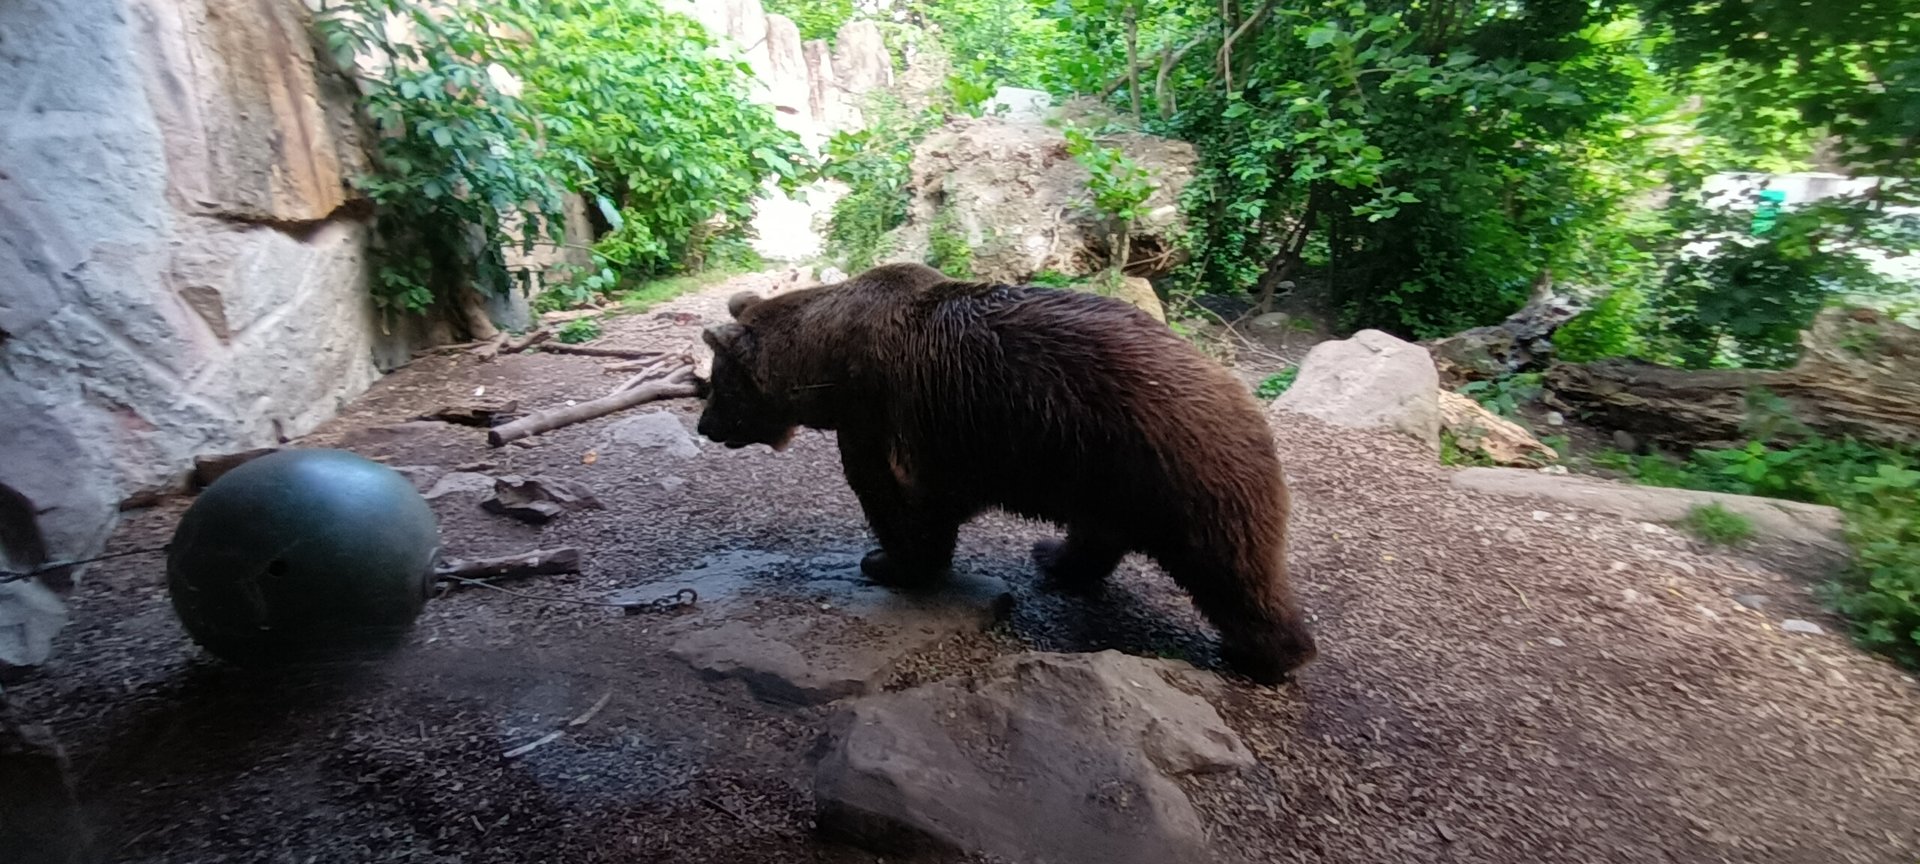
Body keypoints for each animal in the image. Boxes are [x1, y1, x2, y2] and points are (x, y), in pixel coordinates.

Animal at [695, 262, 1316, 682]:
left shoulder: (884, 414)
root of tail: (1240, 394)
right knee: (1100, 531)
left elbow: (895, 500)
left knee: (1230, 565)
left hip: (1177, 465)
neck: (825, 366)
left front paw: (886, 562)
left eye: (717, 382)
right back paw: (1055, 559)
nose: (704, 426)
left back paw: (1265, 654)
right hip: (1103, 469)